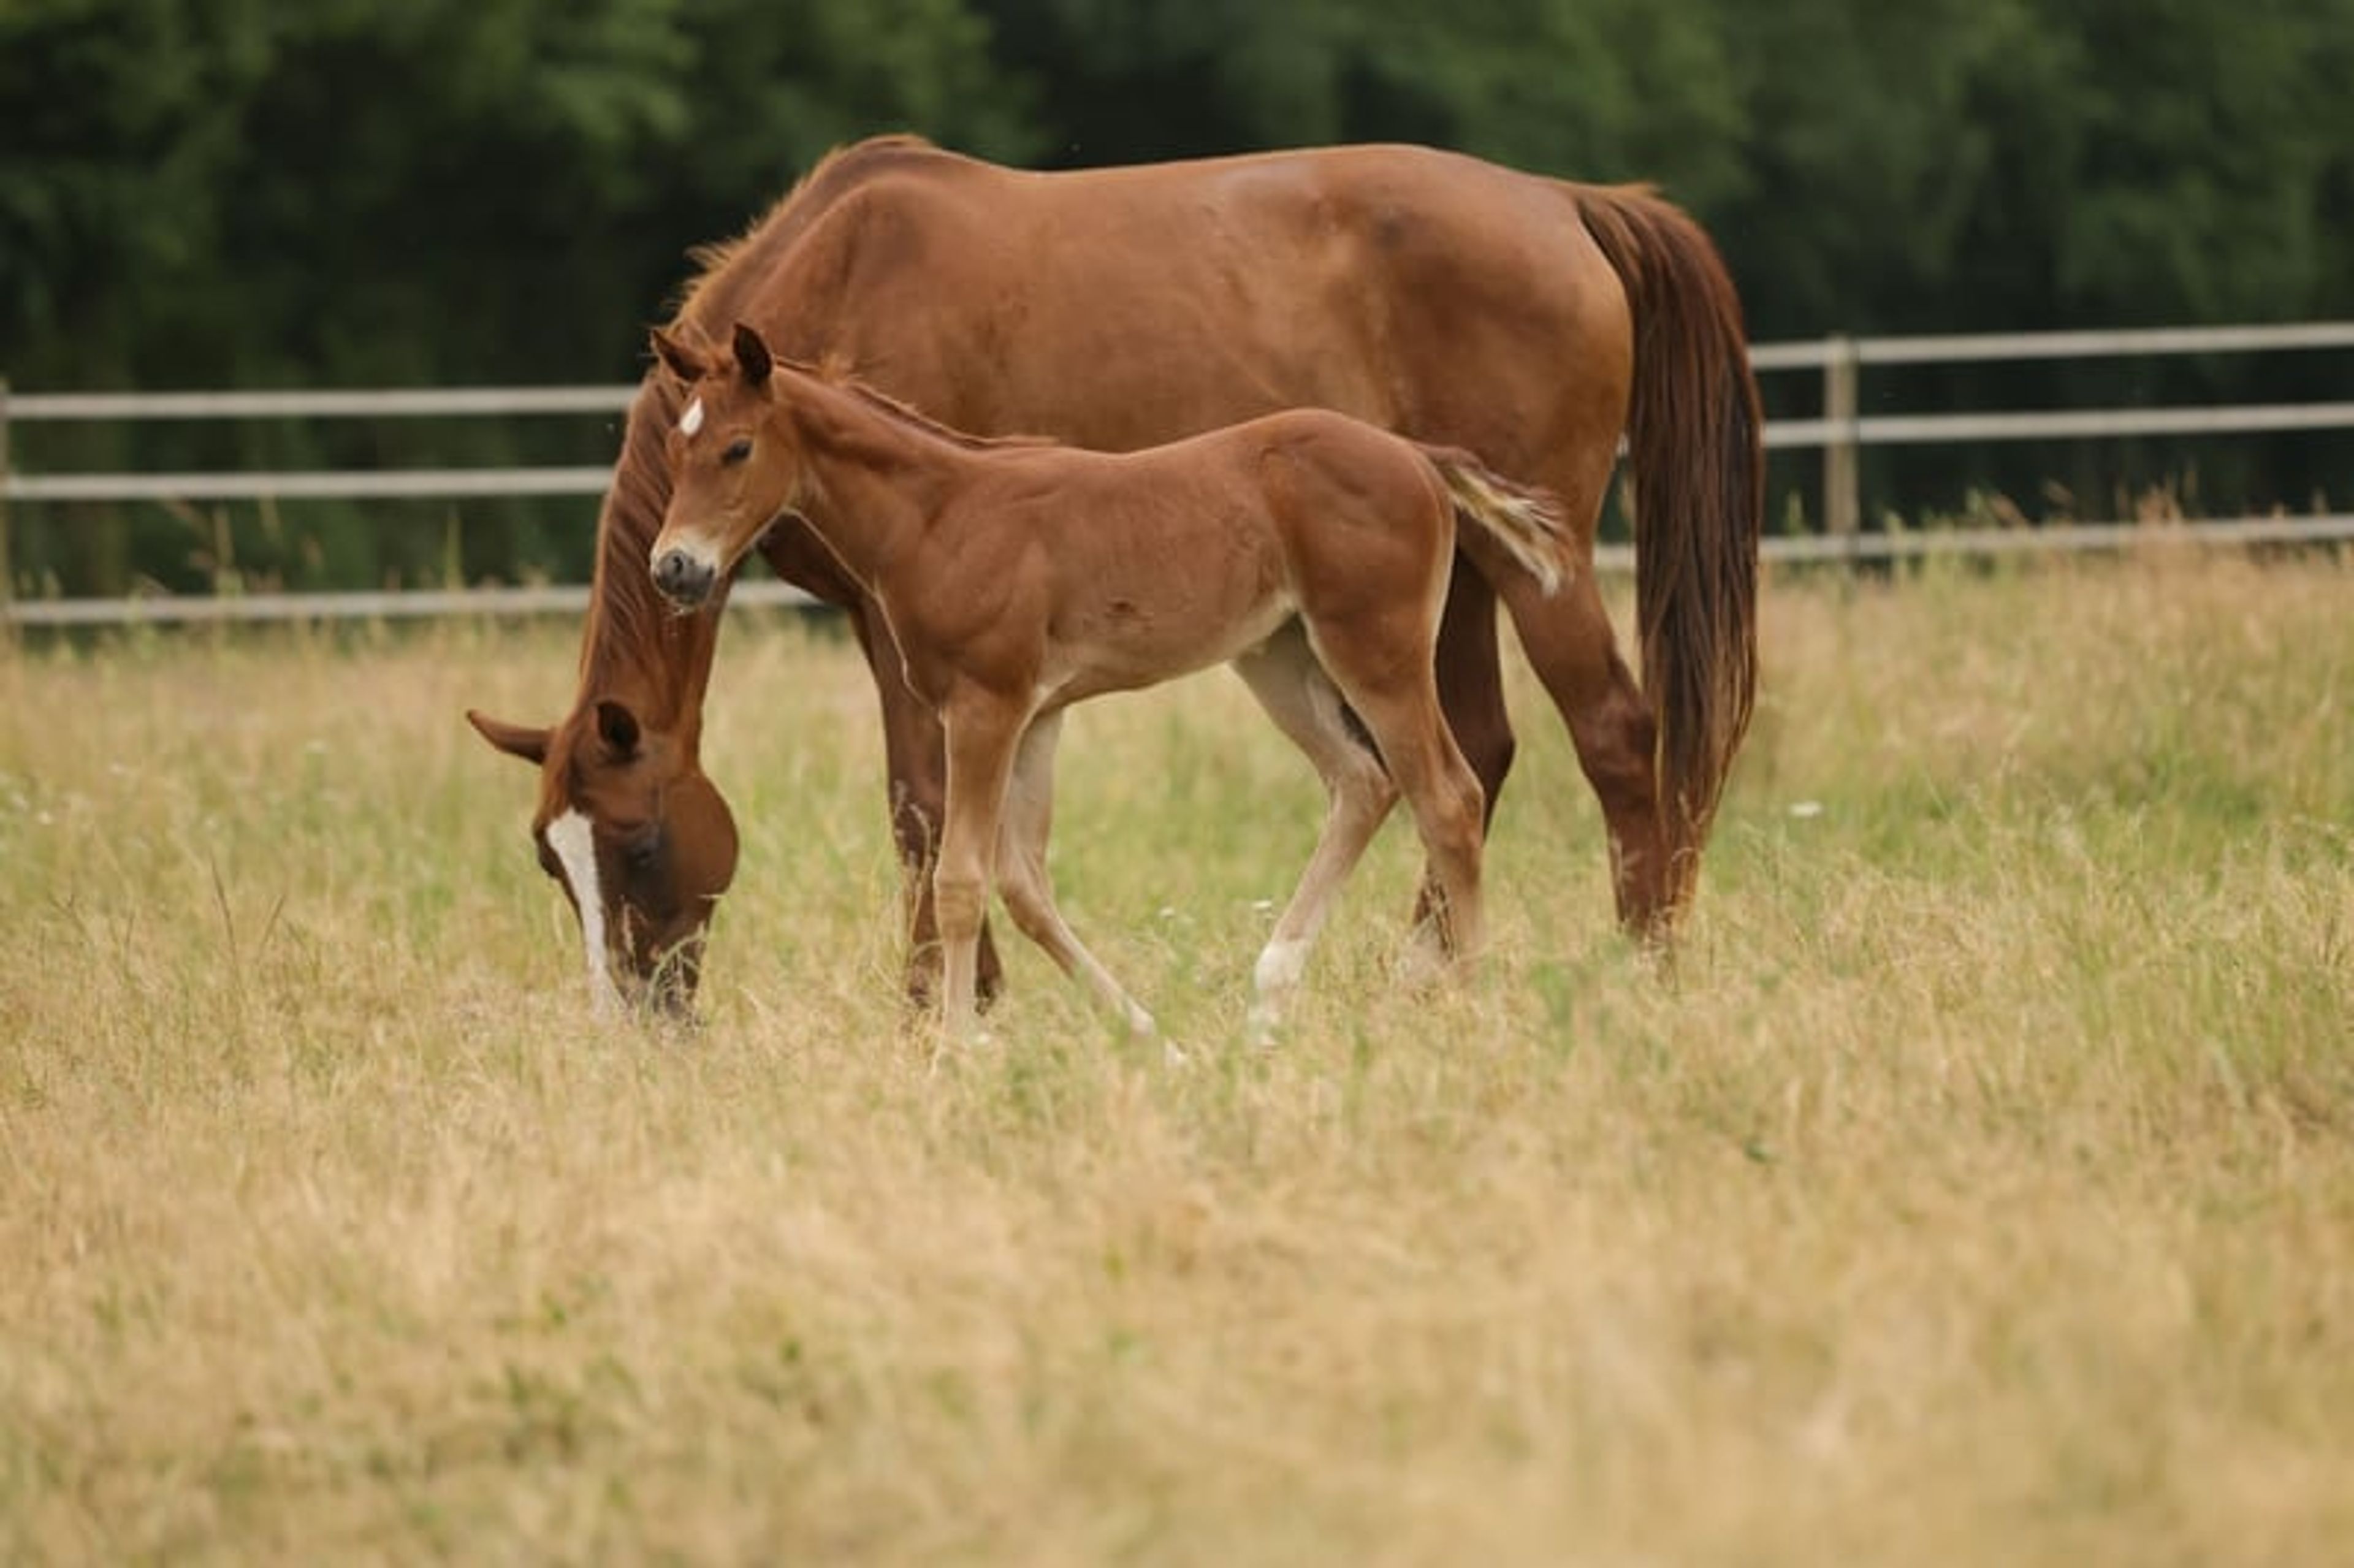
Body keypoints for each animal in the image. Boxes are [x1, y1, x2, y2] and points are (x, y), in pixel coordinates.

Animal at [649, 321, 1571, 1035]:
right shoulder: (1035, 714)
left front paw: (954, 1050)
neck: (939, 514)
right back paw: (1269, 997)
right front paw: (1149, 1035)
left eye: (737, 448)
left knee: (1447, 797)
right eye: (673, 446)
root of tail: (1415, 456)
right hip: (1278, 655)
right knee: (1363, 782)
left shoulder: (983, 706)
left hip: (1377, 650)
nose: (674, 568)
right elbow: (1022, 884)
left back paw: (1473, 1006)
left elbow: (961, 880)